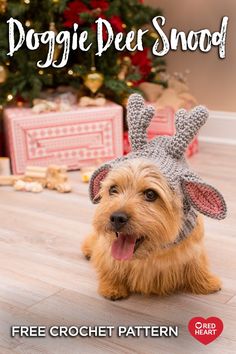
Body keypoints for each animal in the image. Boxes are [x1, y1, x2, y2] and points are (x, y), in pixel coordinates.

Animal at [81, 160, 221, 302]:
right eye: (113, 189)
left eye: (150, 194)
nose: (117, 218)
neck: (151, 253)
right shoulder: (107, 252)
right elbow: (110, 267)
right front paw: (112, 288)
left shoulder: (193, 251)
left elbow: (197, 266)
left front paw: (207, 283)